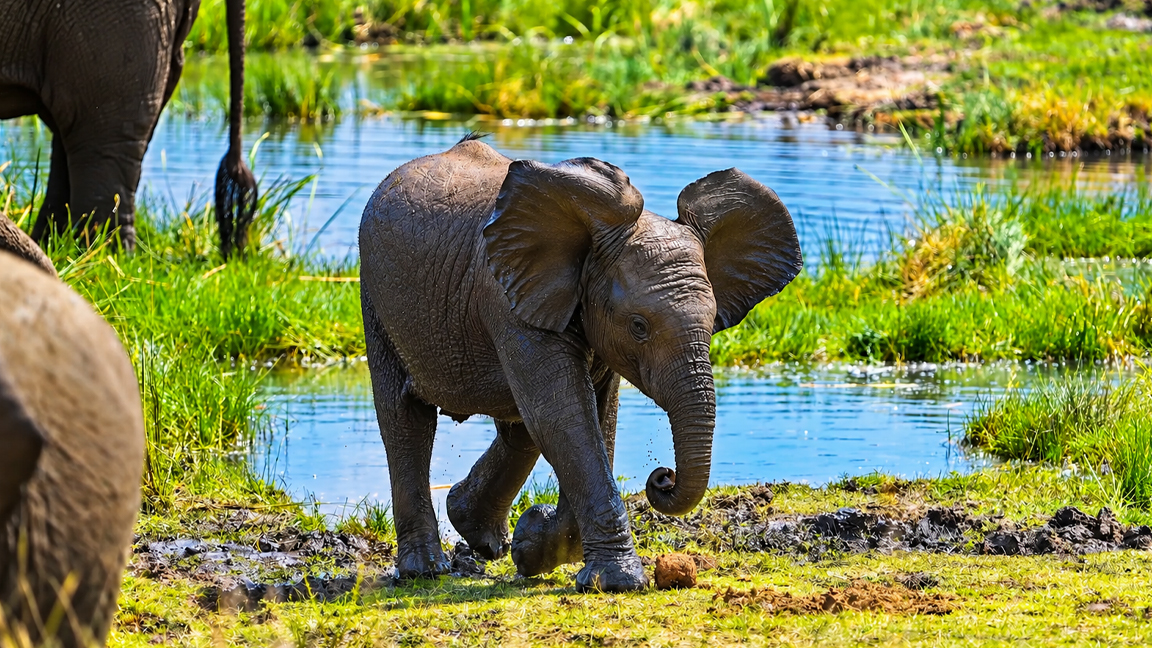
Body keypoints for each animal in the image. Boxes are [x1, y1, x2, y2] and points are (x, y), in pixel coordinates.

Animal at [359, 135, 802, 592]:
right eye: (639, 326)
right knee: (405, 419)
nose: (662, 476)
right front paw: (619, 581)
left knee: (519, 425)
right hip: (376, 296)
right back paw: (425, 570)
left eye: (713, 322)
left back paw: (481, 537)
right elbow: (565, 417)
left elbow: (594, 417)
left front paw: (532, 547)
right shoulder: (507, 301)